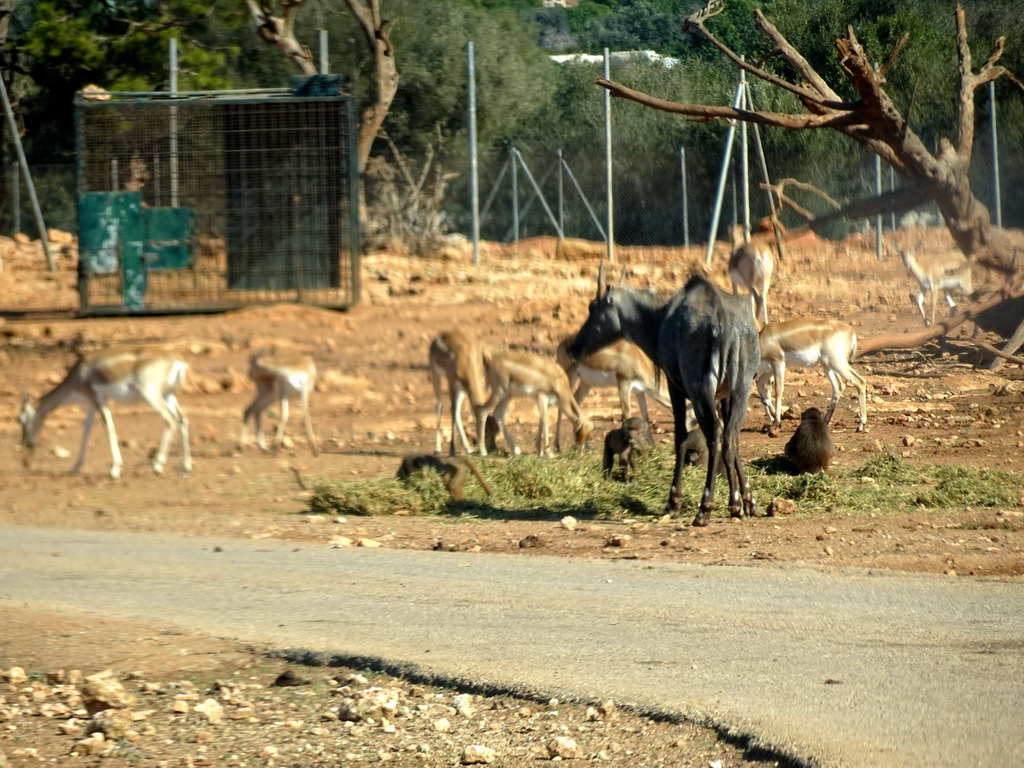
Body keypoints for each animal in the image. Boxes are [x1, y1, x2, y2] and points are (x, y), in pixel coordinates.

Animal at [18, 344, 192, 479]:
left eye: (21, 419)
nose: (27, 444)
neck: (80, 373)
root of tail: (176, 359)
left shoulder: (100, 400)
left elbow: (108, 427)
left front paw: (114, 470)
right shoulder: (92, 404)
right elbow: (86, 428)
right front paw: (75, 467)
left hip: (151, 395)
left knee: (169, 420)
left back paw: (157, 465)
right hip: (168, 395)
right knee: (182, 420)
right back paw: (185, 469)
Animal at [569, 266, 761, 528]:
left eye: (592, 307)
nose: (573, 347)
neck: (659, 320)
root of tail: (724, 323)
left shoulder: (674, 385)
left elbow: (680, 436)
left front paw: (673, 503)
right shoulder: (725, 394)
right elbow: (735, 442)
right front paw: (745, 503)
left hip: (699, 390)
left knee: (714, 434)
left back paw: (704, 509)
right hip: (741, 387)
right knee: (729, 436)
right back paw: (735, 505)